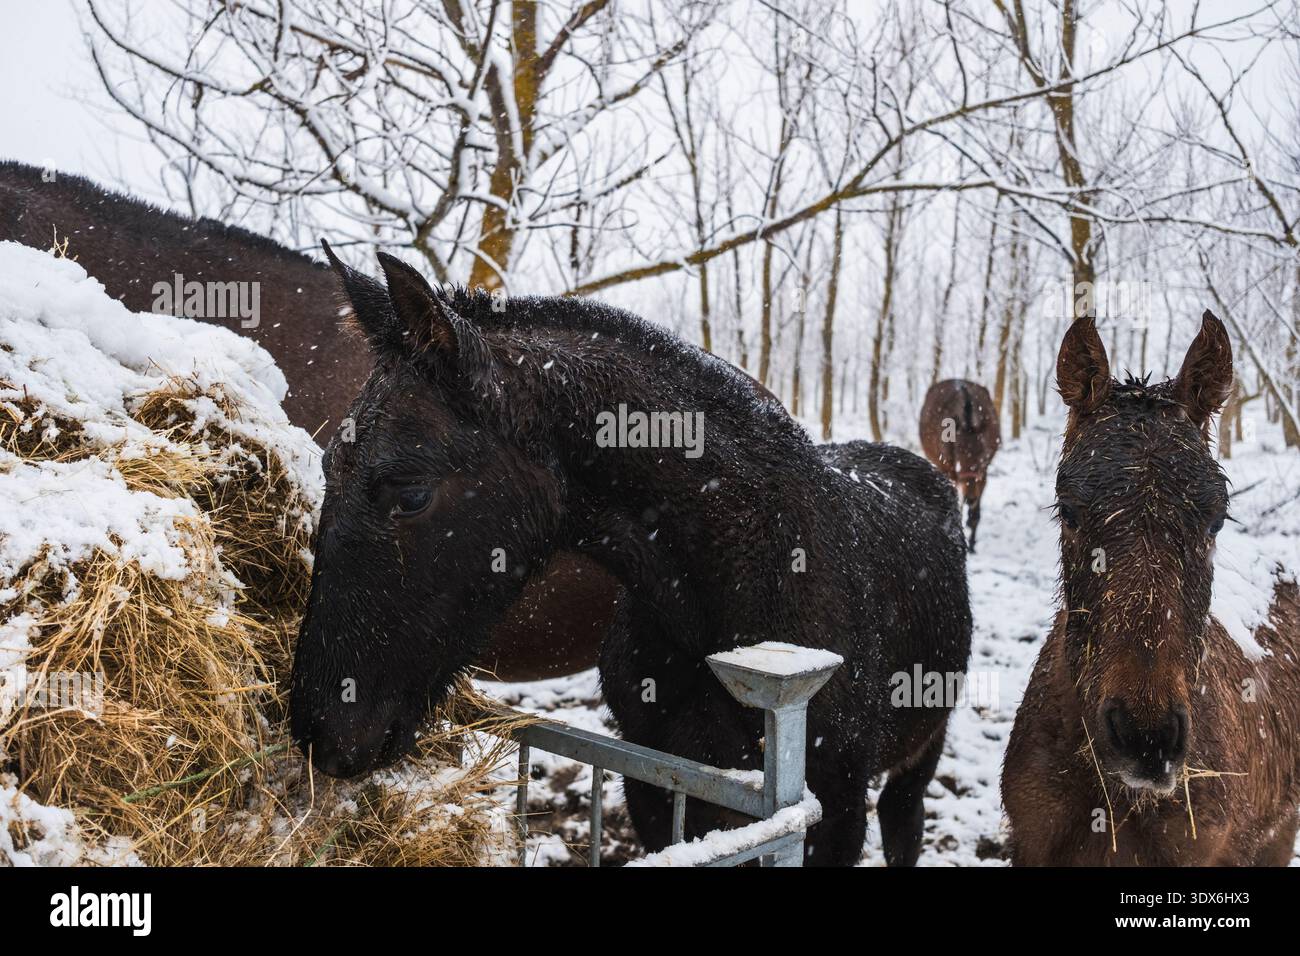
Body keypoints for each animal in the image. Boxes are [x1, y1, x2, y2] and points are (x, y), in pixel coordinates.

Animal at [919, 379, 1001, 552]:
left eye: (983, 458)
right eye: (957, 458)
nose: (970, 497)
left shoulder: (983, 474)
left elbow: (975, 514)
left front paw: (972, 542)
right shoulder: (951, 472)